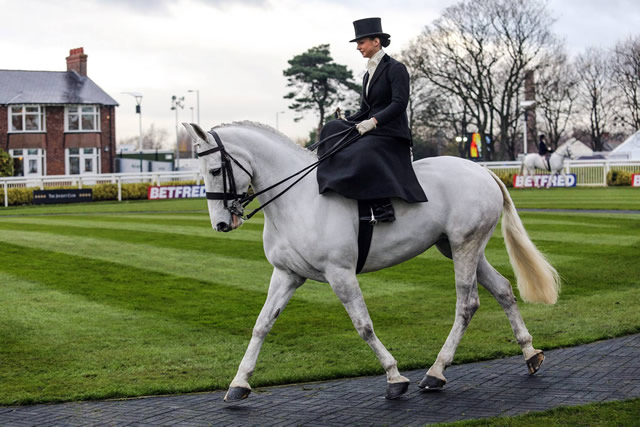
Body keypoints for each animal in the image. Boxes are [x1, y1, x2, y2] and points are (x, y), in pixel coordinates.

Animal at [181, 122, 560, 402]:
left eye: (214, 169)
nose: (220, 223)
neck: (297, 199)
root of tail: (484, 173)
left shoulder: (340, 273)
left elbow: (363, 325)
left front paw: (394, 377)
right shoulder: (286, 275)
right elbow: (262, 325)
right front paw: (239, 382)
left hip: (465, 246)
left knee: (467, 304)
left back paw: (436, 372)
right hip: (458, 247)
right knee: (503, 290)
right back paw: (529, 353)